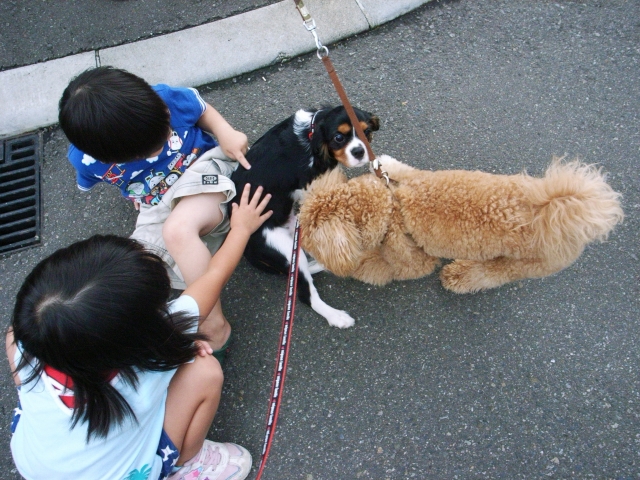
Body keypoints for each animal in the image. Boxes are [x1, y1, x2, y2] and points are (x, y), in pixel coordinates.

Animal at [232, 106, 378, 328]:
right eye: (338, 137)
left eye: (366, 131)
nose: (359, 152)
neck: (310, 133)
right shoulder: (307, 185)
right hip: (283, 248)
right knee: (305, 295)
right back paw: (337, 317)